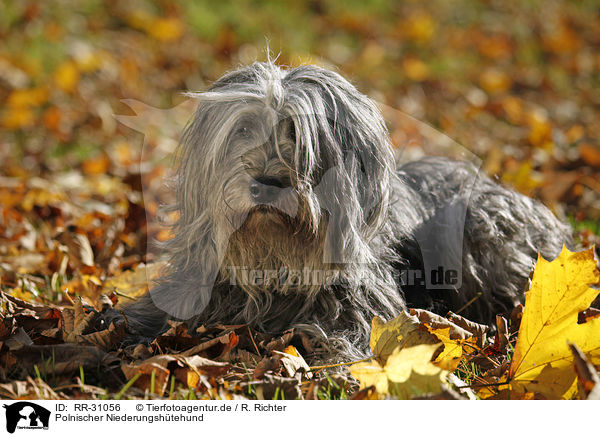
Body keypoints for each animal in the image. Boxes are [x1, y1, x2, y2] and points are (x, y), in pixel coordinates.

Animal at [110, 61, 576, 362]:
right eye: (243, 129)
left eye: (300, 136)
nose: (265, 182)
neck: (275, 263)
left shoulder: (366, 310)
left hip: (480, 221)